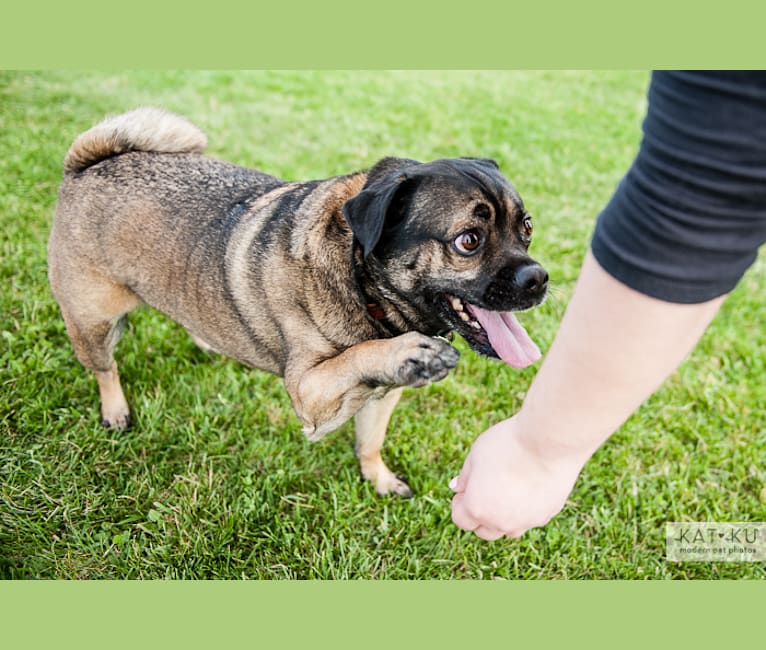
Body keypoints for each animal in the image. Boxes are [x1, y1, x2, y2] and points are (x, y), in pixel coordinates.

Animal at [48, 107, 548, 496]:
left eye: (526, 227)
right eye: (469, 241)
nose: (538, 278)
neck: (360, 277)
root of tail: (86, 165)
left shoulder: (381, 398)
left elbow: (370, 441)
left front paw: (378, 478)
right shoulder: (311, 394)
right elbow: (358, 357)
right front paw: (405, 352)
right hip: (92, 322)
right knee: (105, 368)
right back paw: (115, 410)